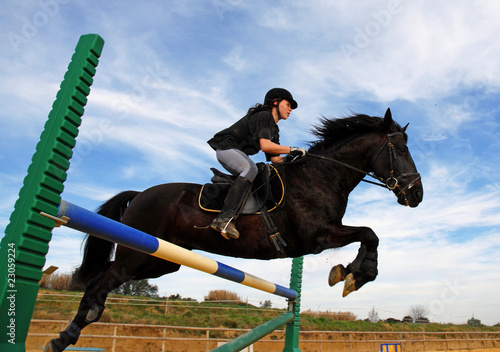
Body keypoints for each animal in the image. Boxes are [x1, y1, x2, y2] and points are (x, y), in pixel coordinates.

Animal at [46, 108, 422, 350]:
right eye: (401, 149)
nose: (416, 194)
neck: (323, 176)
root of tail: (140, 194)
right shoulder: (318, 236)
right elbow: (369, 233)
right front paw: (353, 275)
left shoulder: (321, 236)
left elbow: (369, 235)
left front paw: (350, 273)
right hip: (138, 256)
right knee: (100, 282)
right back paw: (64, 337)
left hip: (159, 260)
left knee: (104, 279)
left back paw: (77, 327)